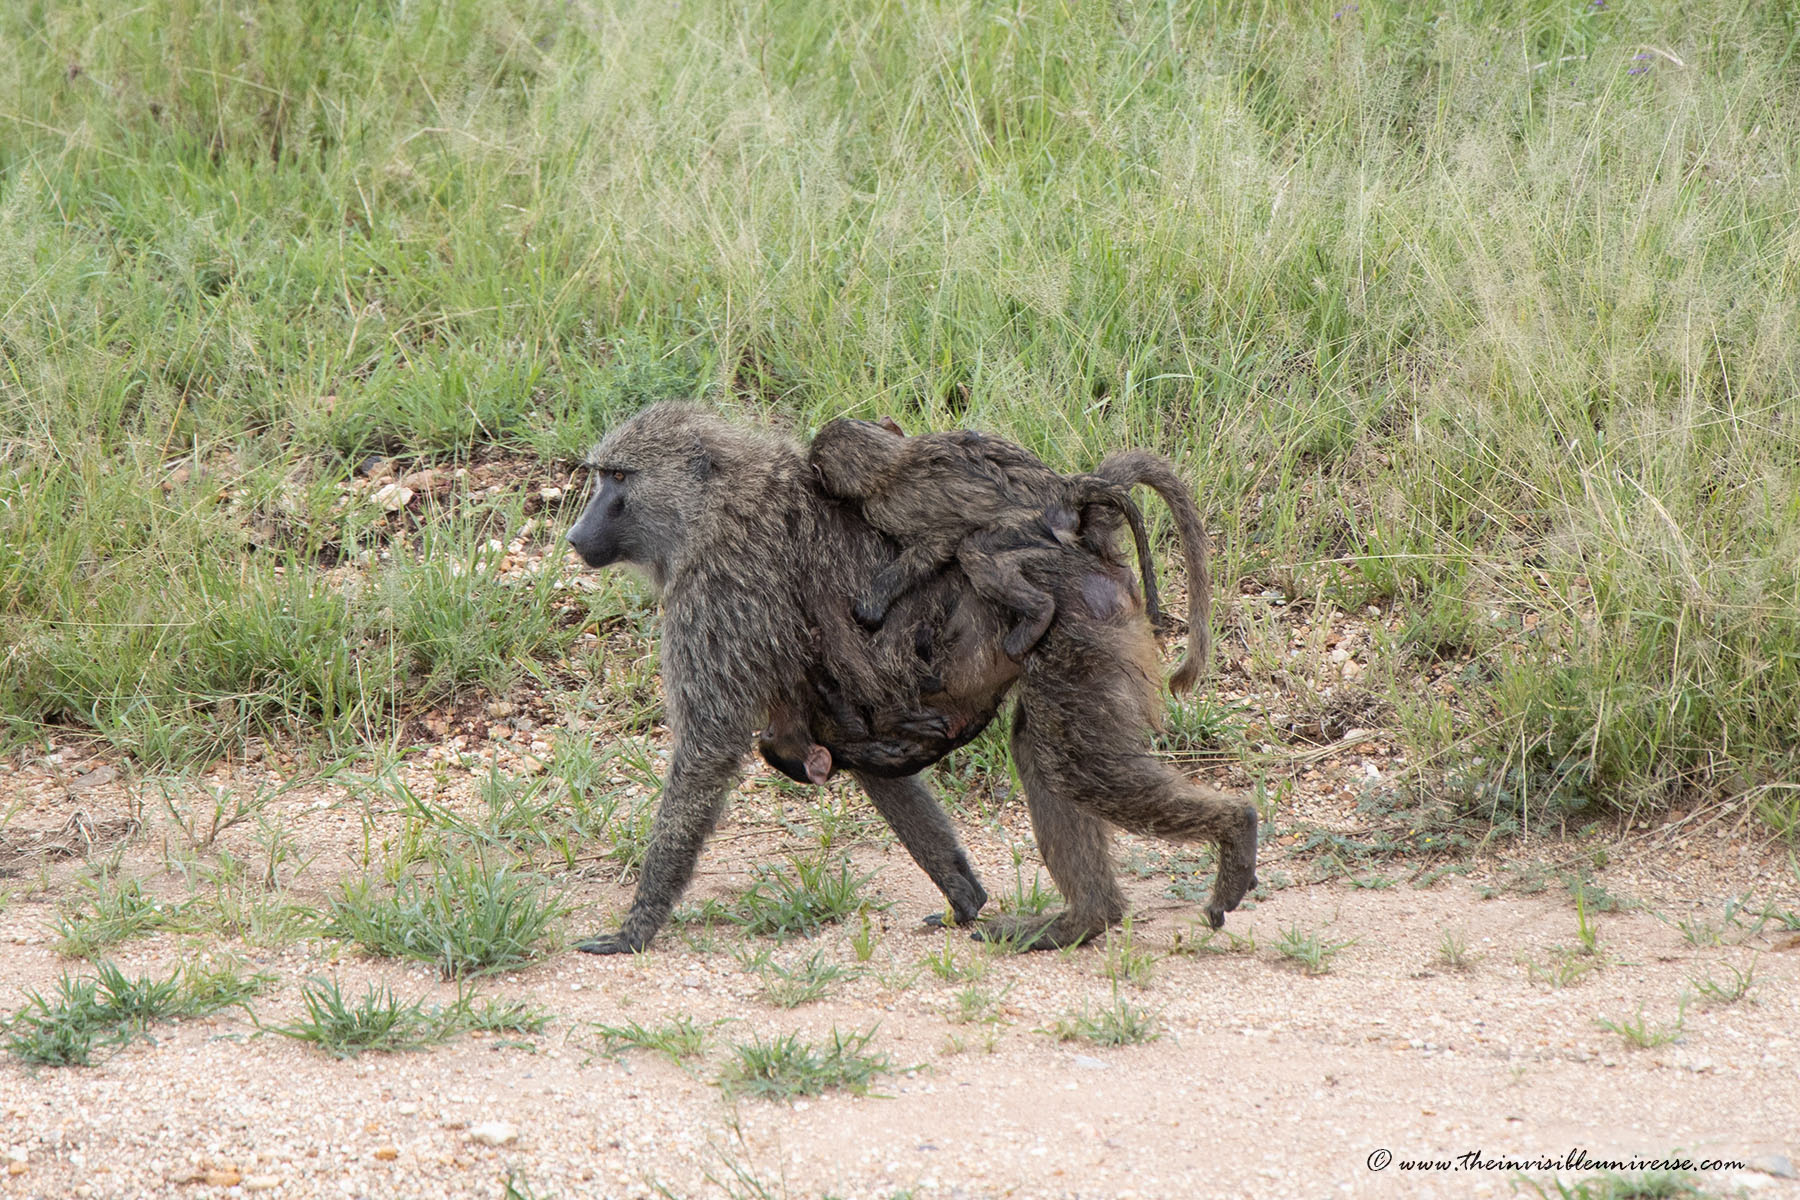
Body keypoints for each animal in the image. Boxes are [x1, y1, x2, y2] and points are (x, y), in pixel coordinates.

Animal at [563, 402, 1255, 954]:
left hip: (1075, 624)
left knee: (1075, 765)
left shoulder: (717, 592)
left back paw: (1235, 829)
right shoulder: (838, 715)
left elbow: (706, 753)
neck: (720, 501)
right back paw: (1083, 920)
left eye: (618, 477)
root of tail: (1080, 522)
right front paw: (963, 895)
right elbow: (874, 762)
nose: (575, 534)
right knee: (1041, 752)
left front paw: (633, 930)